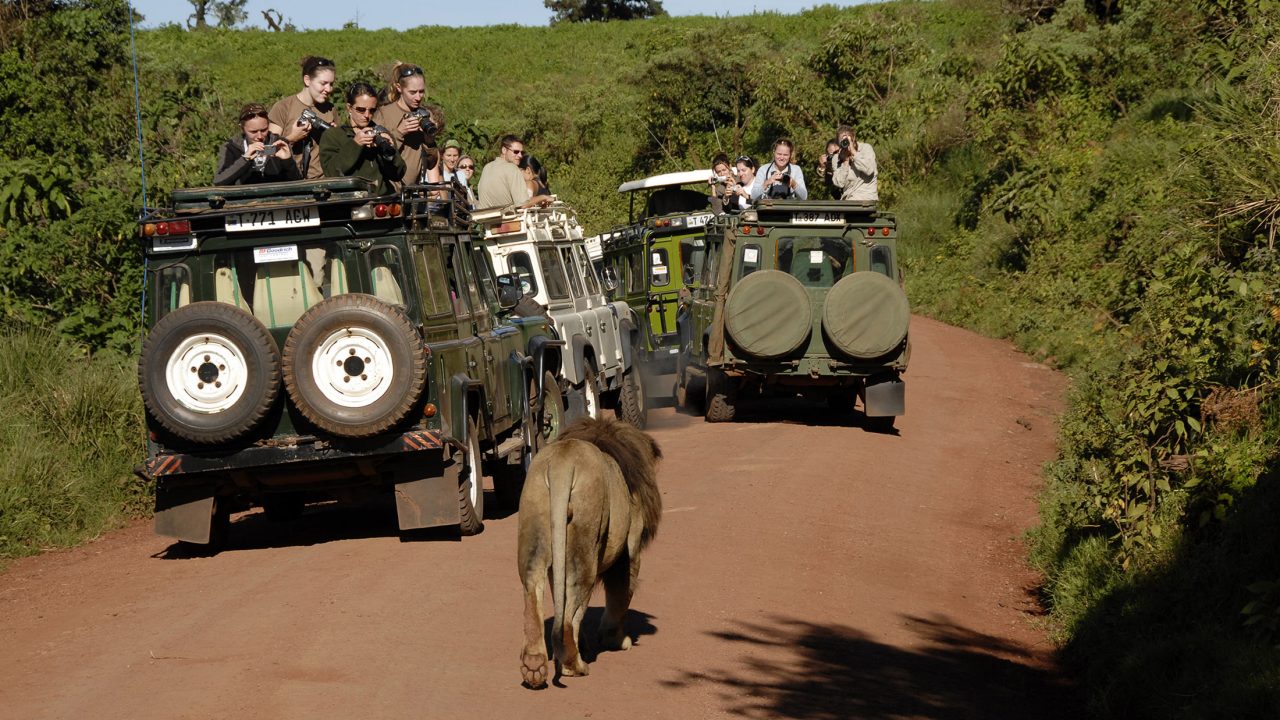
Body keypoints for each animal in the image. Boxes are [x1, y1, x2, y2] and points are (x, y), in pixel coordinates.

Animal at [514, 412, 665, 686]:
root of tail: (562, 463)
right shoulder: (630, 549)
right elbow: (620, 595)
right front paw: (616, 640)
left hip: (535, 522)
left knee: (534, 591)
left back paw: (535, 666)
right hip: (586, 539)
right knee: (570, 612)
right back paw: (574, 665)